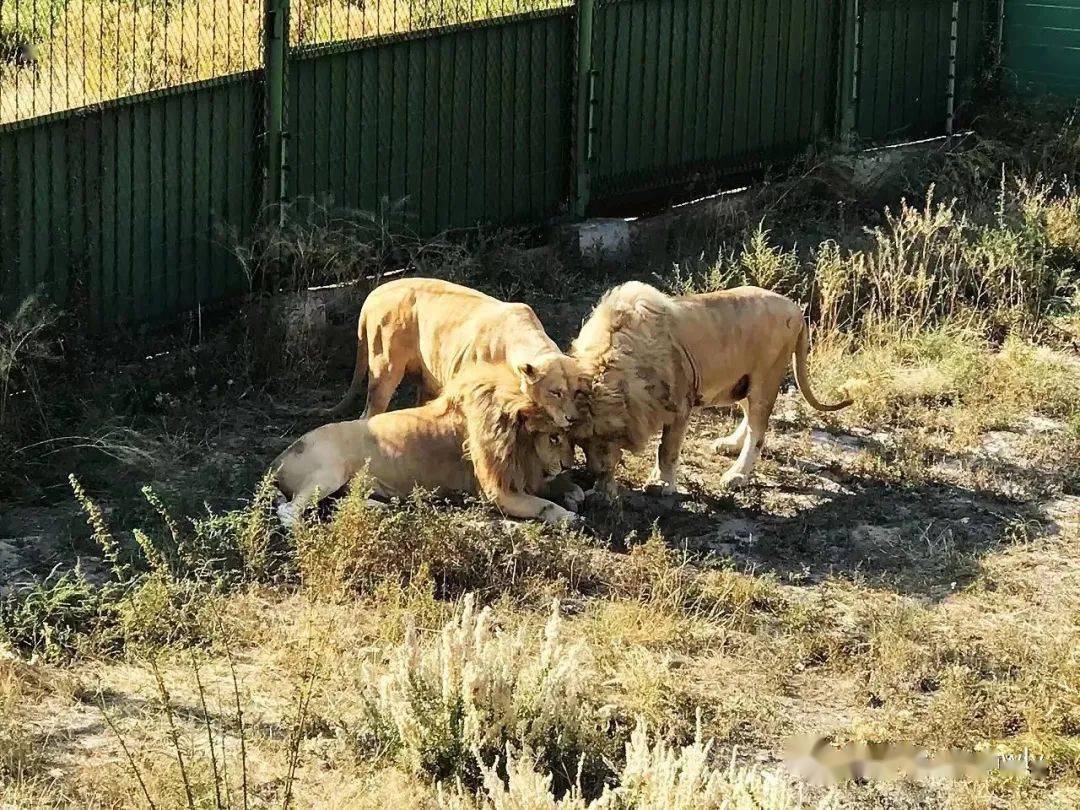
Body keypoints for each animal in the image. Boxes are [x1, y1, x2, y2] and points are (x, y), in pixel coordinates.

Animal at [274, 360, 587, 527]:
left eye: (570, 438)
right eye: (554, 437)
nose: (566, 465)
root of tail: (277, 461)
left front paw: (573, 492)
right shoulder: (496, 492)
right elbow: (542, 505)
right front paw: (569, 516)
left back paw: (381, 506)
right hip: (328, 473)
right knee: (288, 510)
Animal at [321, 278, 583, 432]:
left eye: (576, 392)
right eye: (555, 392)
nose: (573, 419)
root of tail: (375, 291)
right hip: (385, 368)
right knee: (368, 413)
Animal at [570, 285, 855, 501]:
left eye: (604, 436)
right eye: (582, 442)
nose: (592, 472)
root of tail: (795, 309)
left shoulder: (681, 404)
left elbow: (666, 449)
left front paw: (660, 484)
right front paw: (602, 487)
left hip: (765, 379)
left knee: (758, 431)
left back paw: (736, 475)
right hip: (742, 383)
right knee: (749, 418)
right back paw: (729, 444)